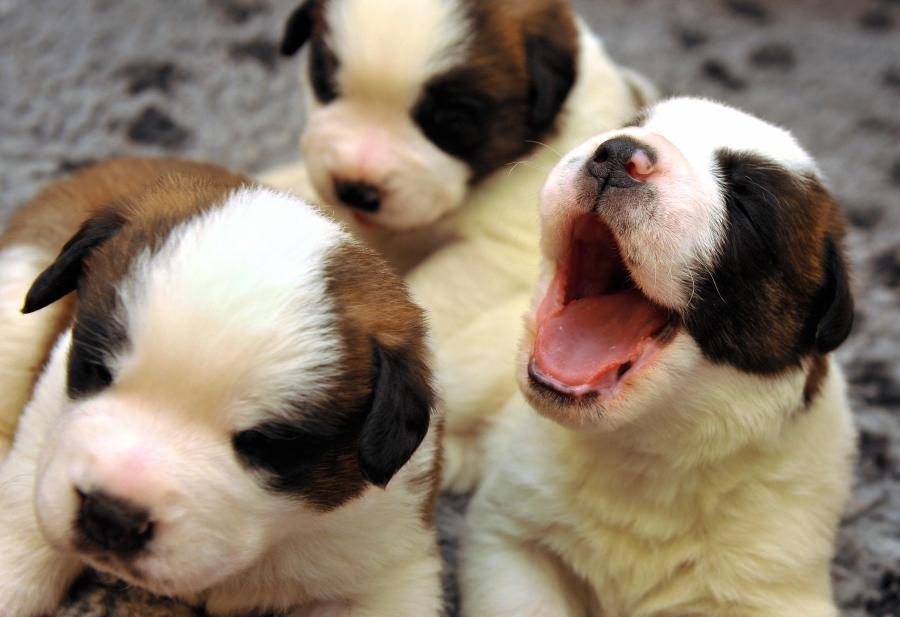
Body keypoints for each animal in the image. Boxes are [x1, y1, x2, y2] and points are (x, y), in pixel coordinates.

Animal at [464, 97, 856, 616]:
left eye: (745, 204)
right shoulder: (512, 538)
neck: (646, 445)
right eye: (631, 127)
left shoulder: (770, 590)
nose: (618, 154)